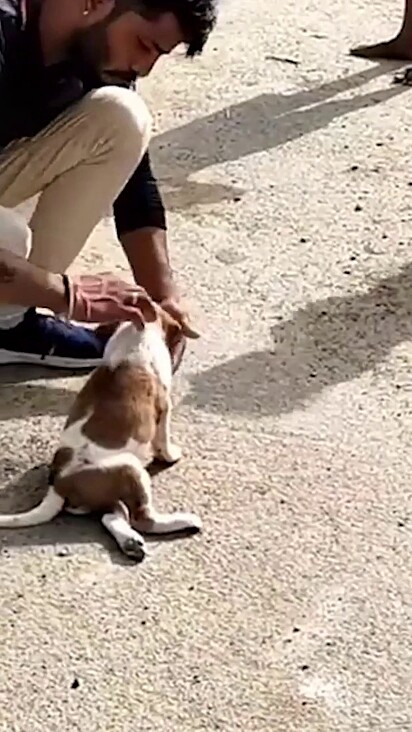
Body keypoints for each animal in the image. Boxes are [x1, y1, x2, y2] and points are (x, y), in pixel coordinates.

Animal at [0, 302, 201, 560]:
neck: (137, 333)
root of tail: (59, 485)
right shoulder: (164, 406)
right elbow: (163, 438)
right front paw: (171, 455)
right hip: (129, 468)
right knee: (142, 519)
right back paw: (184, 521)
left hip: (110, 490)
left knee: (112, 515)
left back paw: (131, 542)